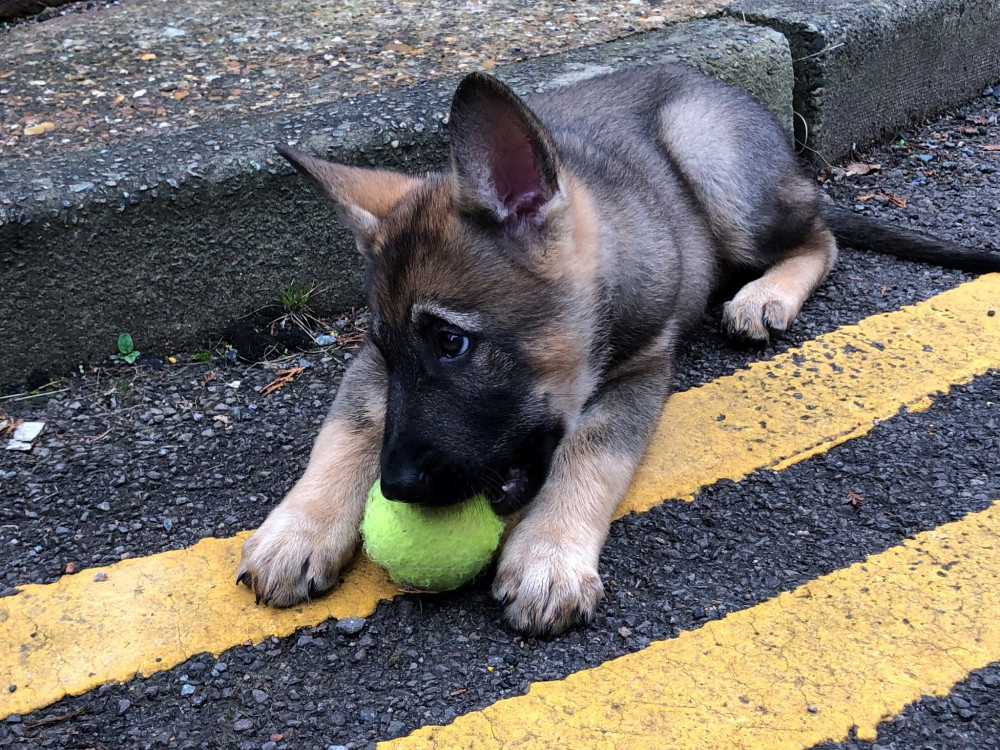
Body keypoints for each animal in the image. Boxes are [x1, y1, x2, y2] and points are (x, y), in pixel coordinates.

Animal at [236, 67, 1000, 636]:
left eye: (452, 343)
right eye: (390, 351)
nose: (394, 489)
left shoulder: (643, 370)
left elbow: (592, 452)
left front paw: (550, 554)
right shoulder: (367, 370)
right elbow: (349, 427)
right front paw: (299, 529)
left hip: (714, 160)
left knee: (822, 238)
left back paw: (765, 295)